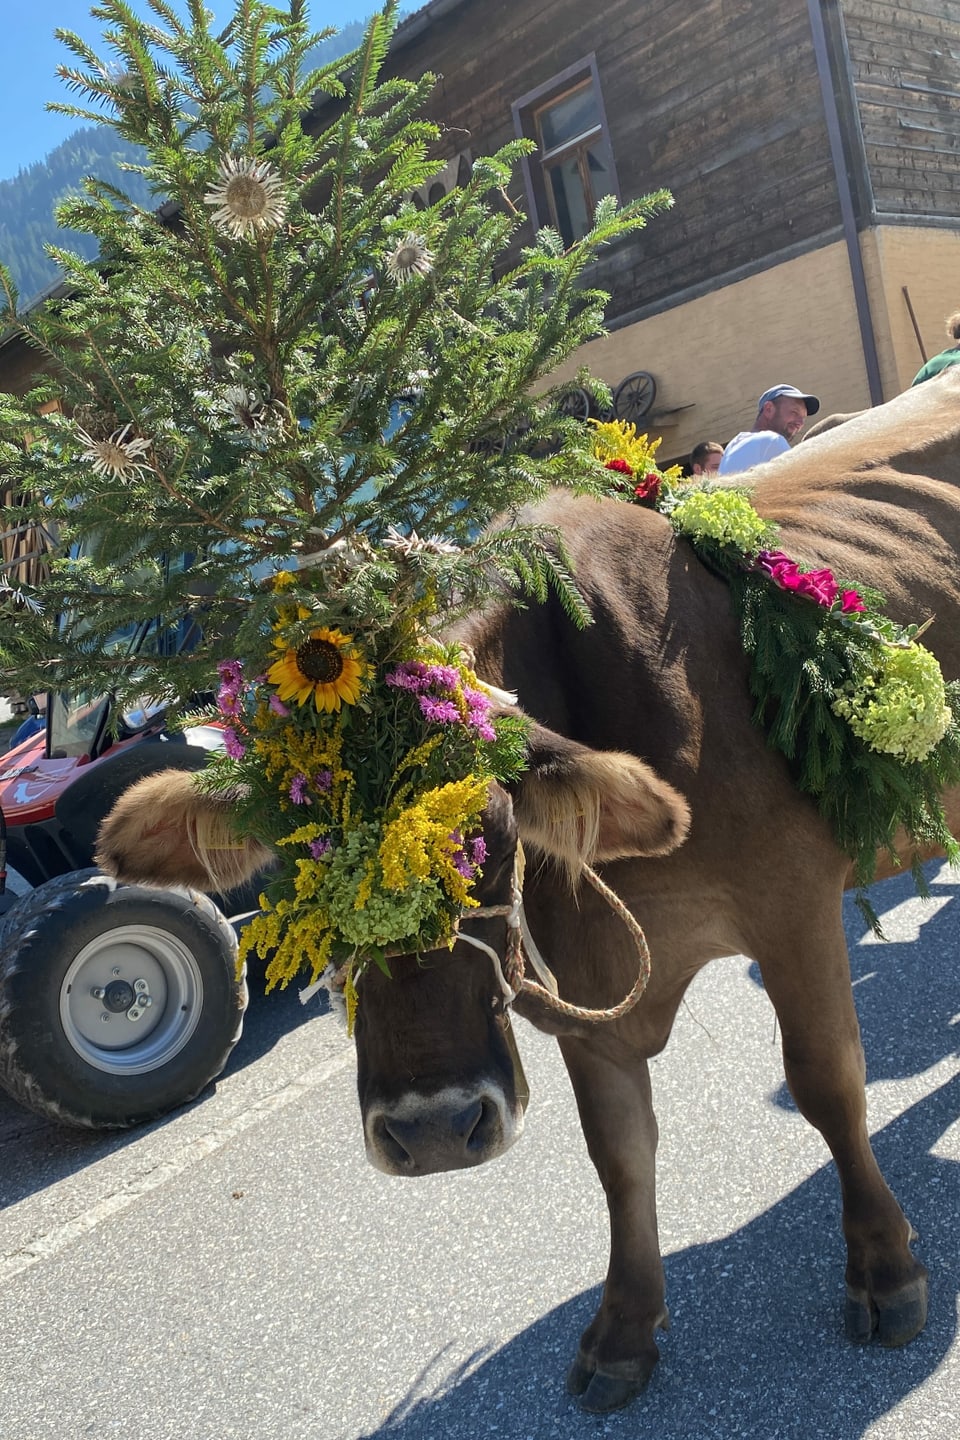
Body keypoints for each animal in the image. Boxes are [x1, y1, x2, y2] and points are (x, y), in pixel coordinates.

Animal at [93, 371, 960, 1416]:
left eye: (489, 831)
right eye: (295, 858)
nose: (430, 1133)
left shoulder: (793, 907)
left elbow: (827, 1083)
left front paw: (884, 1268)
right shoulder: (573, 996)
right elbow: (617, 1151)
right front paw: (625, 1328)